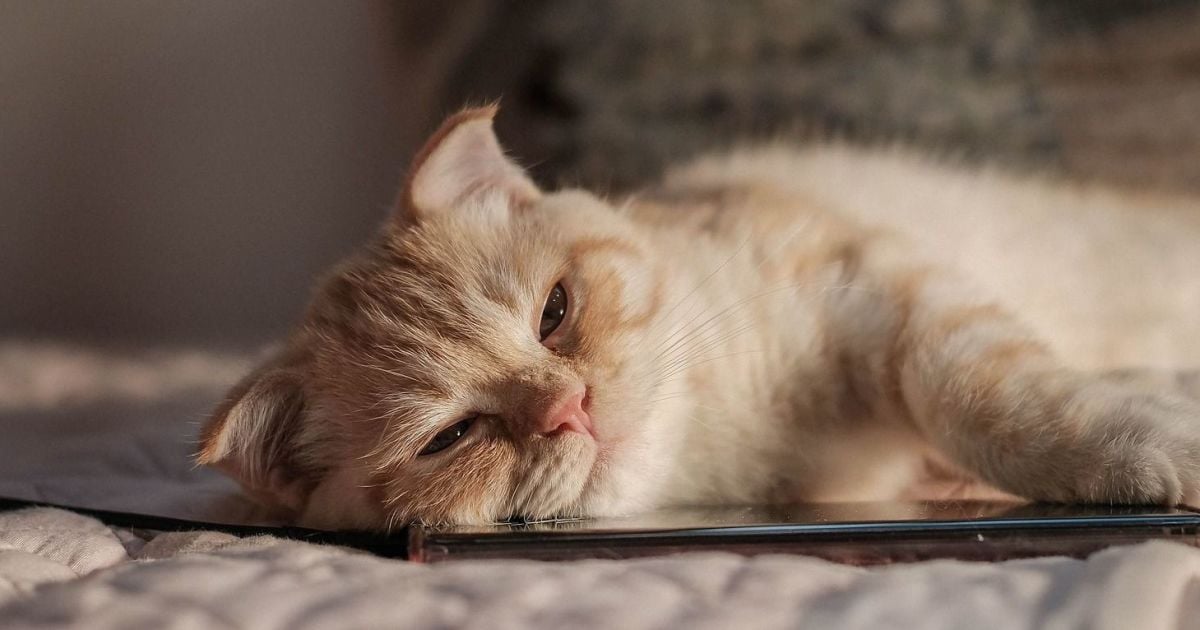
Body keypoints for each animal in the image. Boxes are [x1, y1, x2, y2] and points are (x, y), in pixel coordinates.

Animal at [197, 105, 1200, 530]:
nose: (570, 409)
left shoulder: (879, 281)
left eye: (554, 313)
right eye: (450, 439)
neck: (729, 442)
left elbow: (989, 395)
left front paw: (1144, 441)